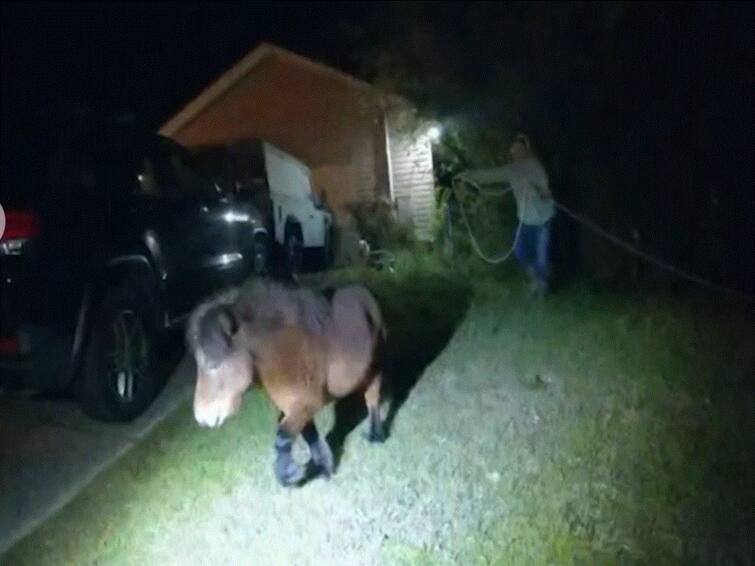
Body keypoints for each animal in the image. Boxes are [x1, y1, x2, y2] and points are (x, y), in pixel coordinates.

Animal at [187, 280, 386, 488]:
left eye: (213, 365)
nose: (202, 419)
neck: (281, 354)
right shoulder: (294, 408)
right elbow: (309, 436)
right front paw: (325, 468)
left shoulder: (307, 404)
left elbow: (282, 438)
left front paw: (288, 473)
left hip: (376, 367)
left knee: (373, 400)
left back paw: (377, 436)